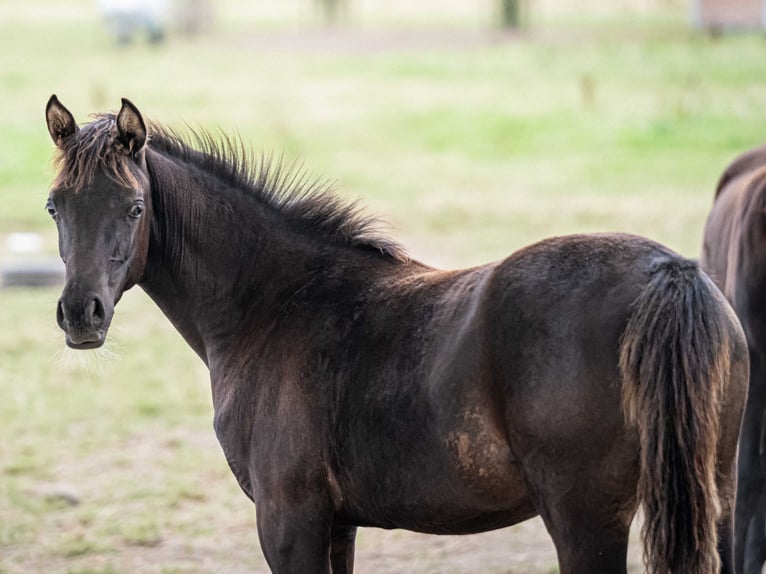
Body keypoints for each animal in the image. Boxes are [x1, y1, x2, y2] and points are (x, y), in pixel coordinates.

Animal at [44, 95, 748, 574]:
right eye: (55, 206)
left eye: (134, 208)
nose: (82, 315)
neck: (272, 304)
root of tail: (669, 272)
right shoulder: (337, 525)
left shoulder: (289, 520)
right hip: (713, 499)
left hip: (587, 520)